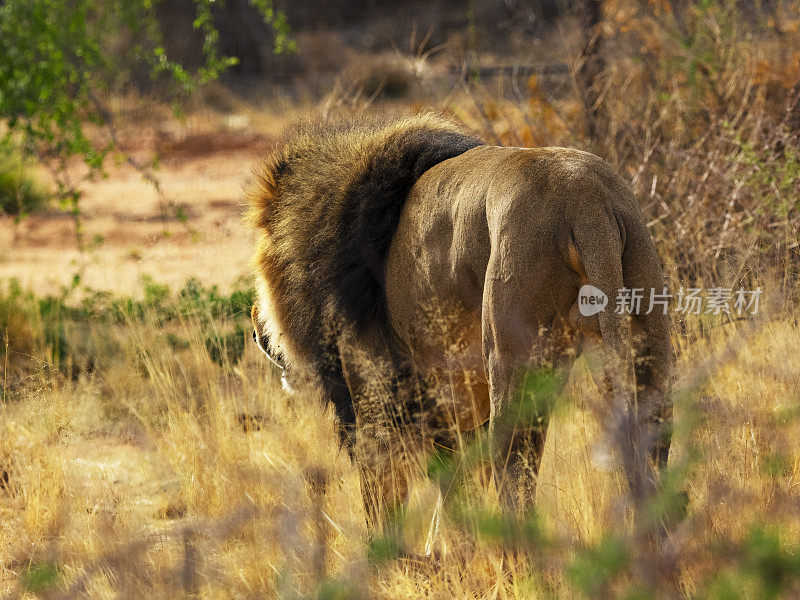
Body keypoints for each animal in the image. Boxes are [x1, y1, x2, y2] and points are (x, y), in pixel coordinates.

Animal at [247, 112, 672, 528]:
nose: (254, 329)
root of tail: (586, 199)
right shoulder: (455, 415)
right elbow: (455, 501)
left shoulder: (375, 402)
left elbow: (384, 511)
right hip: (643, 329)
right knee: (655, 454)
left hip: (511, 353)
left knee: (515, 482)